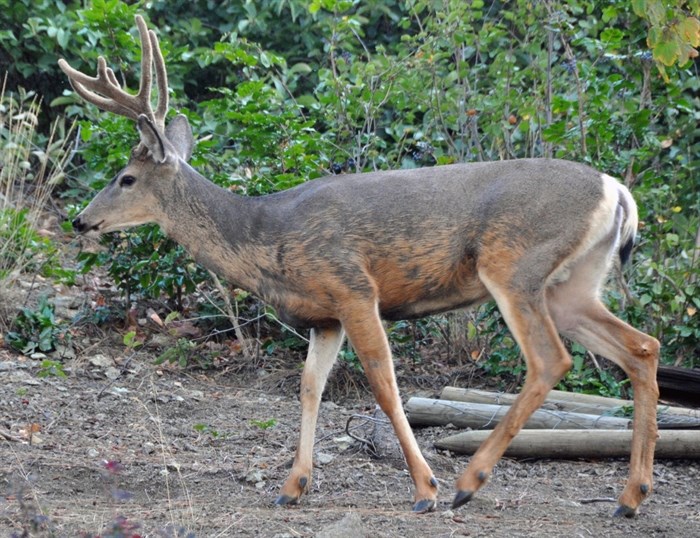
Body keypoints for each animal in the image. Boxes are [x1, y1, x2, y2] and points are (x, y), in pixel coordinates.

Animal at [59, 15, 660, 517]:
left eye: (126, 178)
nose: (80, 220)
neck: (263, 237)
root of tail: (619, 191)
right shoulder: (325, 314)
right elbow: (309, 386)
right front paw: (292, 486)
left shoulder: (352, 287)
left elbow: (384, 383)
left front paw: (424, 489)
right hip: (573, 284)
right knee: (641, 346)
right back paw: (630, 498)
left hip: (514, 264)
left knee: (550, 359)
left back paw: (467, 483)